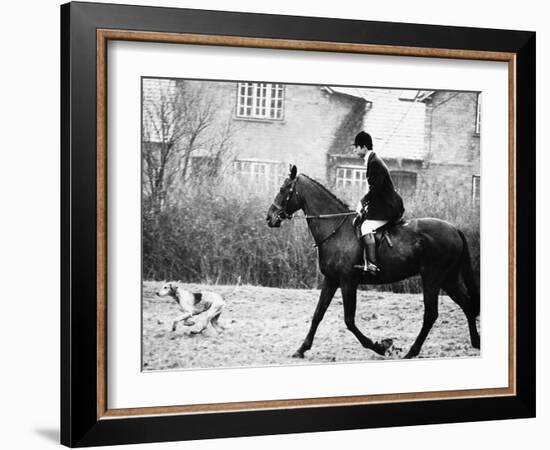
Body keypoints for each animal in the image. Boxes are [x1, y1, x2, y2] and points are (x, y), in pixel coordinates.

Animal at [266, 165, 480, 358]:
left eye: (283, 189)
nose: (269, 218)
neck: (335, 229)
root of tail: (454, 229)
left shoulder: (347, 282)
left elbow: (349, 321)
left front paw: (380, 347)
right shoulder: (331, 280)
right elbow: (318, 314)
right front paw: (301, 349)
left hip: (432, 278)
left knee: (431, 314)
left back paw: (412, 352)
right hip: (448, 278)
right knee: (466, 304)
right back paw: (476, 342)